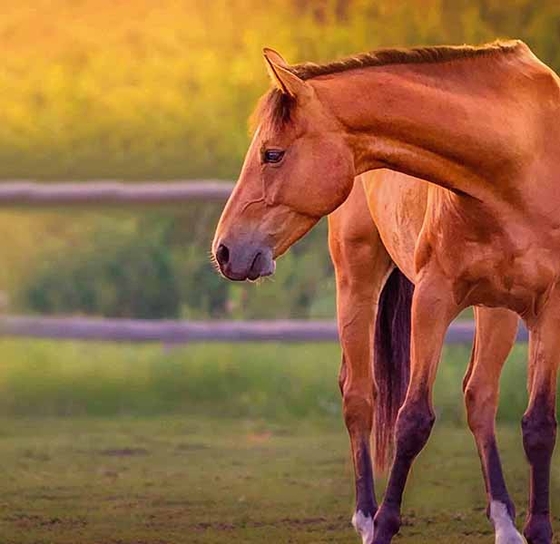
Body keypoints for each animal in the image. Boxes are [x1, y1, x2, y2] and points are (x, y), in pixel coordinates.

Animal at [212, 39, 556, 544]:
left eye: (272, 154)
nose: (224, 250)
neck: (519, 163)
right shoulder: (433, 298)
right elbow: (412, 421)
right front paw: (385, 524)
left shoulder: (549, 308)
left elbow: (539, 425)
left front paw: (538, 529)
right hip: (357, 281)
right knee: (359, 396)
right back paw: (366, 516)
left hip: (498, 309)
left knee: (479, 397)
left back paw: (505, 522)